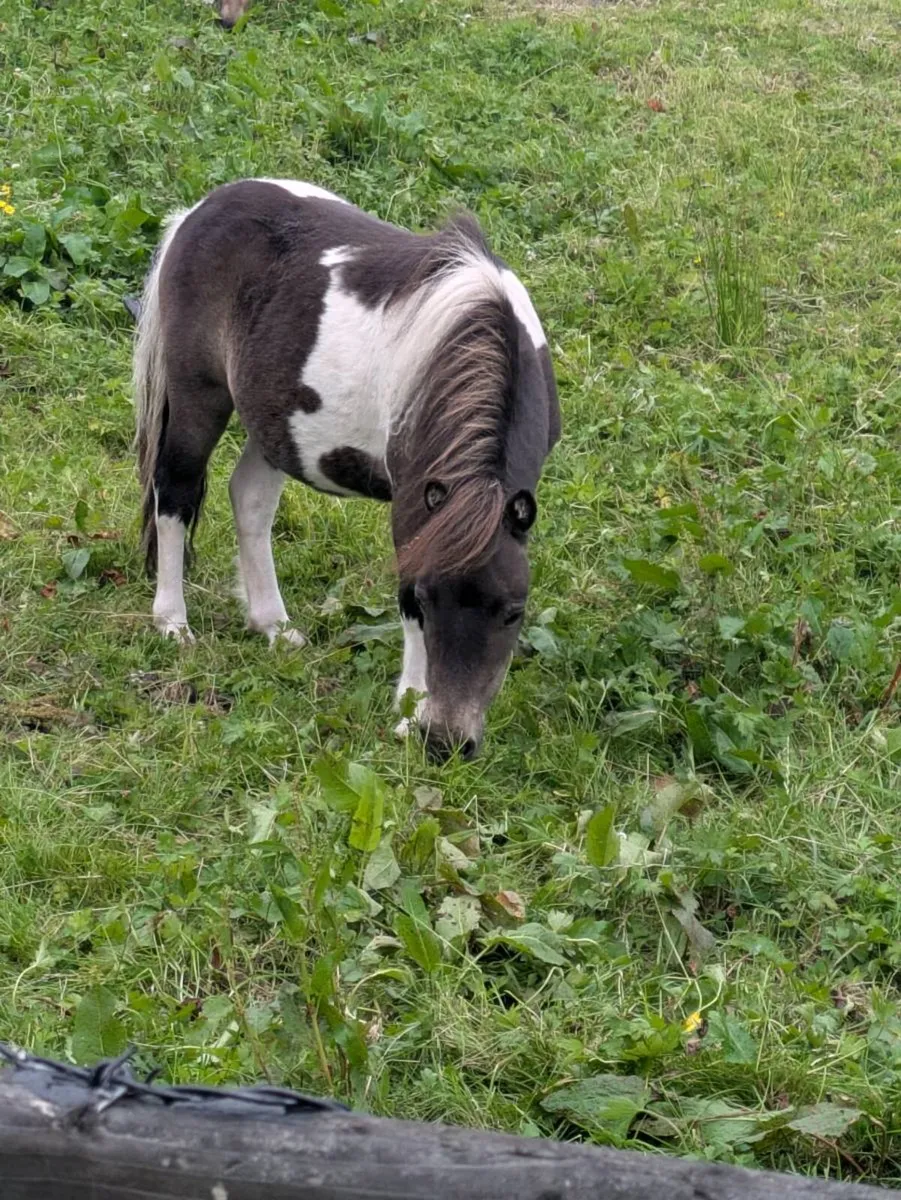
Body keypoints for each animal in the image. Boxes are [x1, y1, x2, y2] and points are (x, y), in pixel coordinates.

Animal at [133, 178, 560, 761]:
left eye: (513, 612)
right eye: (427, 598)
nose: (447, 743)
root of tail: (196, 213)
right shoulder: (414, 506)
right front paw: (408, 713)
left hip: (276, 426)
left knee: (249, 500)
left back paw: (272, 625)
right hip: (199, 398)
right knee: (174, 495)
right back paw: (173, 622)